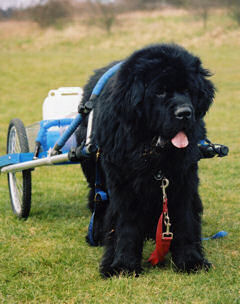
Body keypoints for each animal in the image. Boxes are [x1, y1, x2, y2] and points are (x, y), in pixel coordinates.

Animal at [76, 44, 215, 276]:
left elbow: (185, 220)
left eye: (188, 90)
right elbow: (125, 225)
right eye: (160, 92)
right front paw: (122, 265)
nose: (185, 113)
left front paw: (191, 261)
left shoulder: (183, 179)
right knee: (97, 199)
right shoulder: (123, 183)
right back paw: (97, 233)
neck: (152, 151)